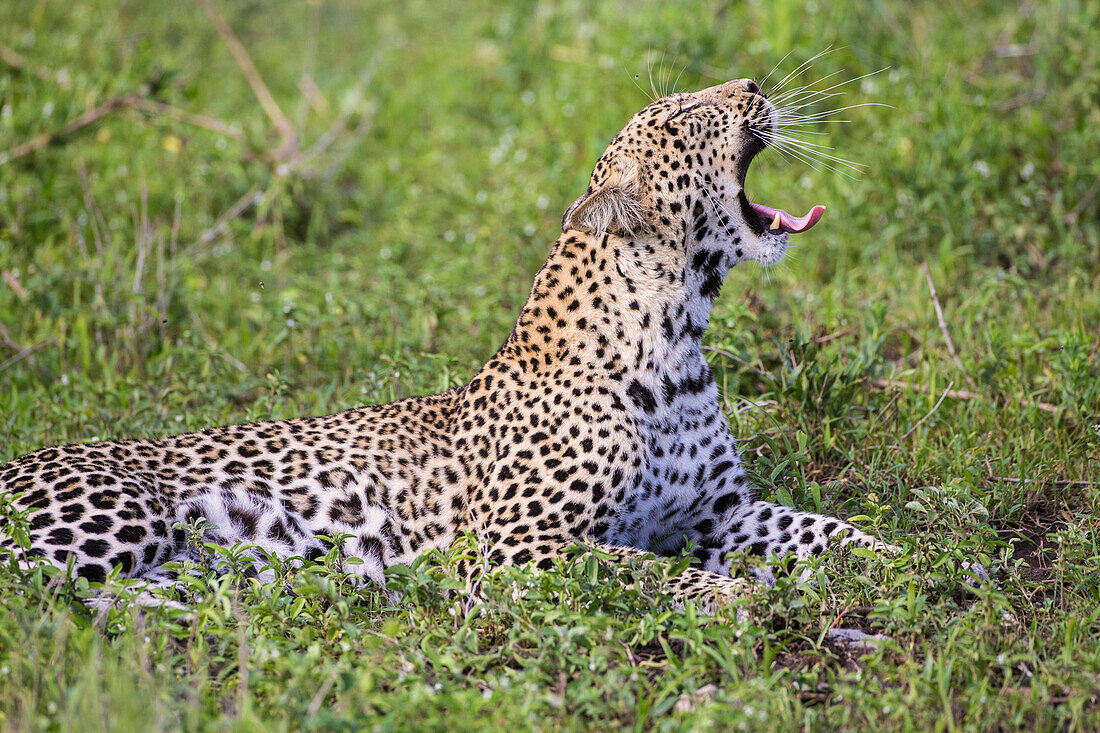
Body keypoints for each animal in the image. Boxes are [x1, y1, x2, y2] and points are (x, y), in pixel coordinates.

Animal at [0, 77, 893, 611]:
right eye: (682, 117)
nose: (753, 83)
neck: (676, 342)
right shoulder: (509, 548)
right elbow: (638, 566)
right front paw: (734, 596)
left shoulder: (720, 510)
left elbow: (822, 528)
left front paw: (896, 556)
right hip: (115, 521)